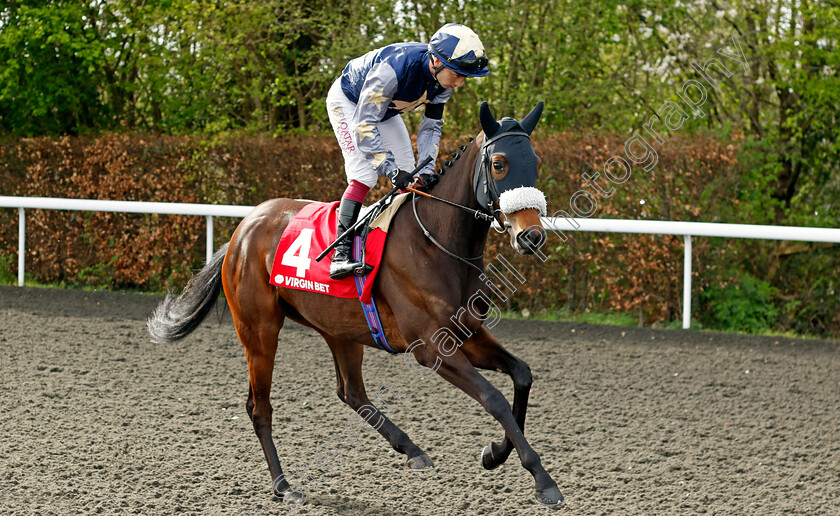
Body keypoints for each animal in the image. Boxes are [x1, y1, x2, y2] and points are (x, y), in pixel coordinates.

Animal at [147, 100, 564, 504]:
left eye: (535, 162)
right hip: (259, 330)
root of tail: (242, 230)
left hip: (338, 328)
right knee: (259, 406)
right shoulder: (431, 347)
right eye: (499, 164)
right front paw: (542, 479)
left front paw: (495, 453)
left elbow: (522, 374)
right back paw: (284, 486)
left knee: (351, 391)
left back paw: (411, 449)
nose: (531, 236)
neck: (434, 242)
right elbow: (493, 398)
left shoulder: (467, 333)